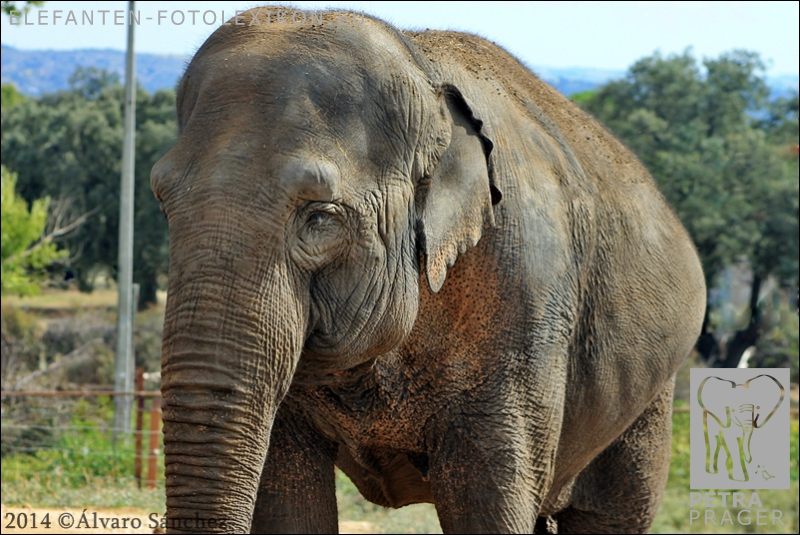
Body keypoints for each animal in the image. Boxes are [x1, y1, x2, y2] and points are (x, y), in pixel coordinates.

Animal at [151, 8, 706, 534]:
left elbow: (487, 506)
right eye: (162, 202)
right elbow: (287, 501)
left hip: (652, 393)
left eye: (320, 217)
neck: (422, 69)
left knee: (612, 513)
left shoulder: (524, 300)